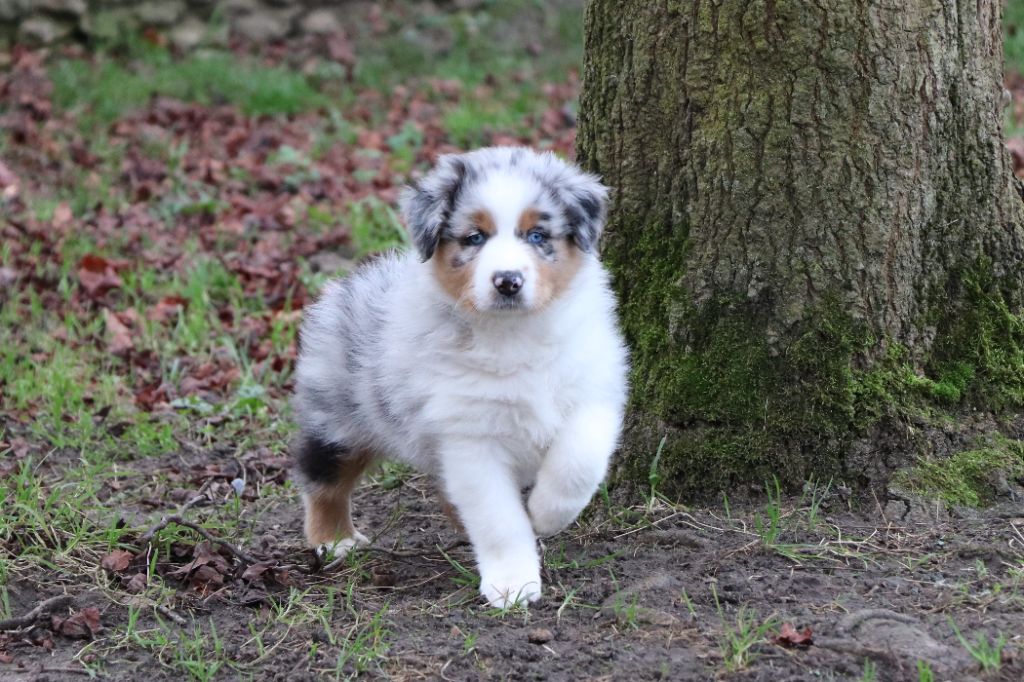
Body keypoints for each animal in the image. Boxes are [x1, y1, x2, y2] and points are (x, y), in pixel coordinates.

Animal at [292, 146, 626, 602]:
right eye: (475, 237)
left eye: (538, 236)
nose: (507, 281)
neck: (512, 334)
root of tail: (356, 280)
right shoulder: (470, 436)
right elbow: (497, 517)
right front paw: (512, 584)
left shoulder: (593, 389)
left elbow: (580, 460)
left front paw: (546, 515)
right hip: (337, 413)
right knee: (322, 477)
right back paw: (334, 538)